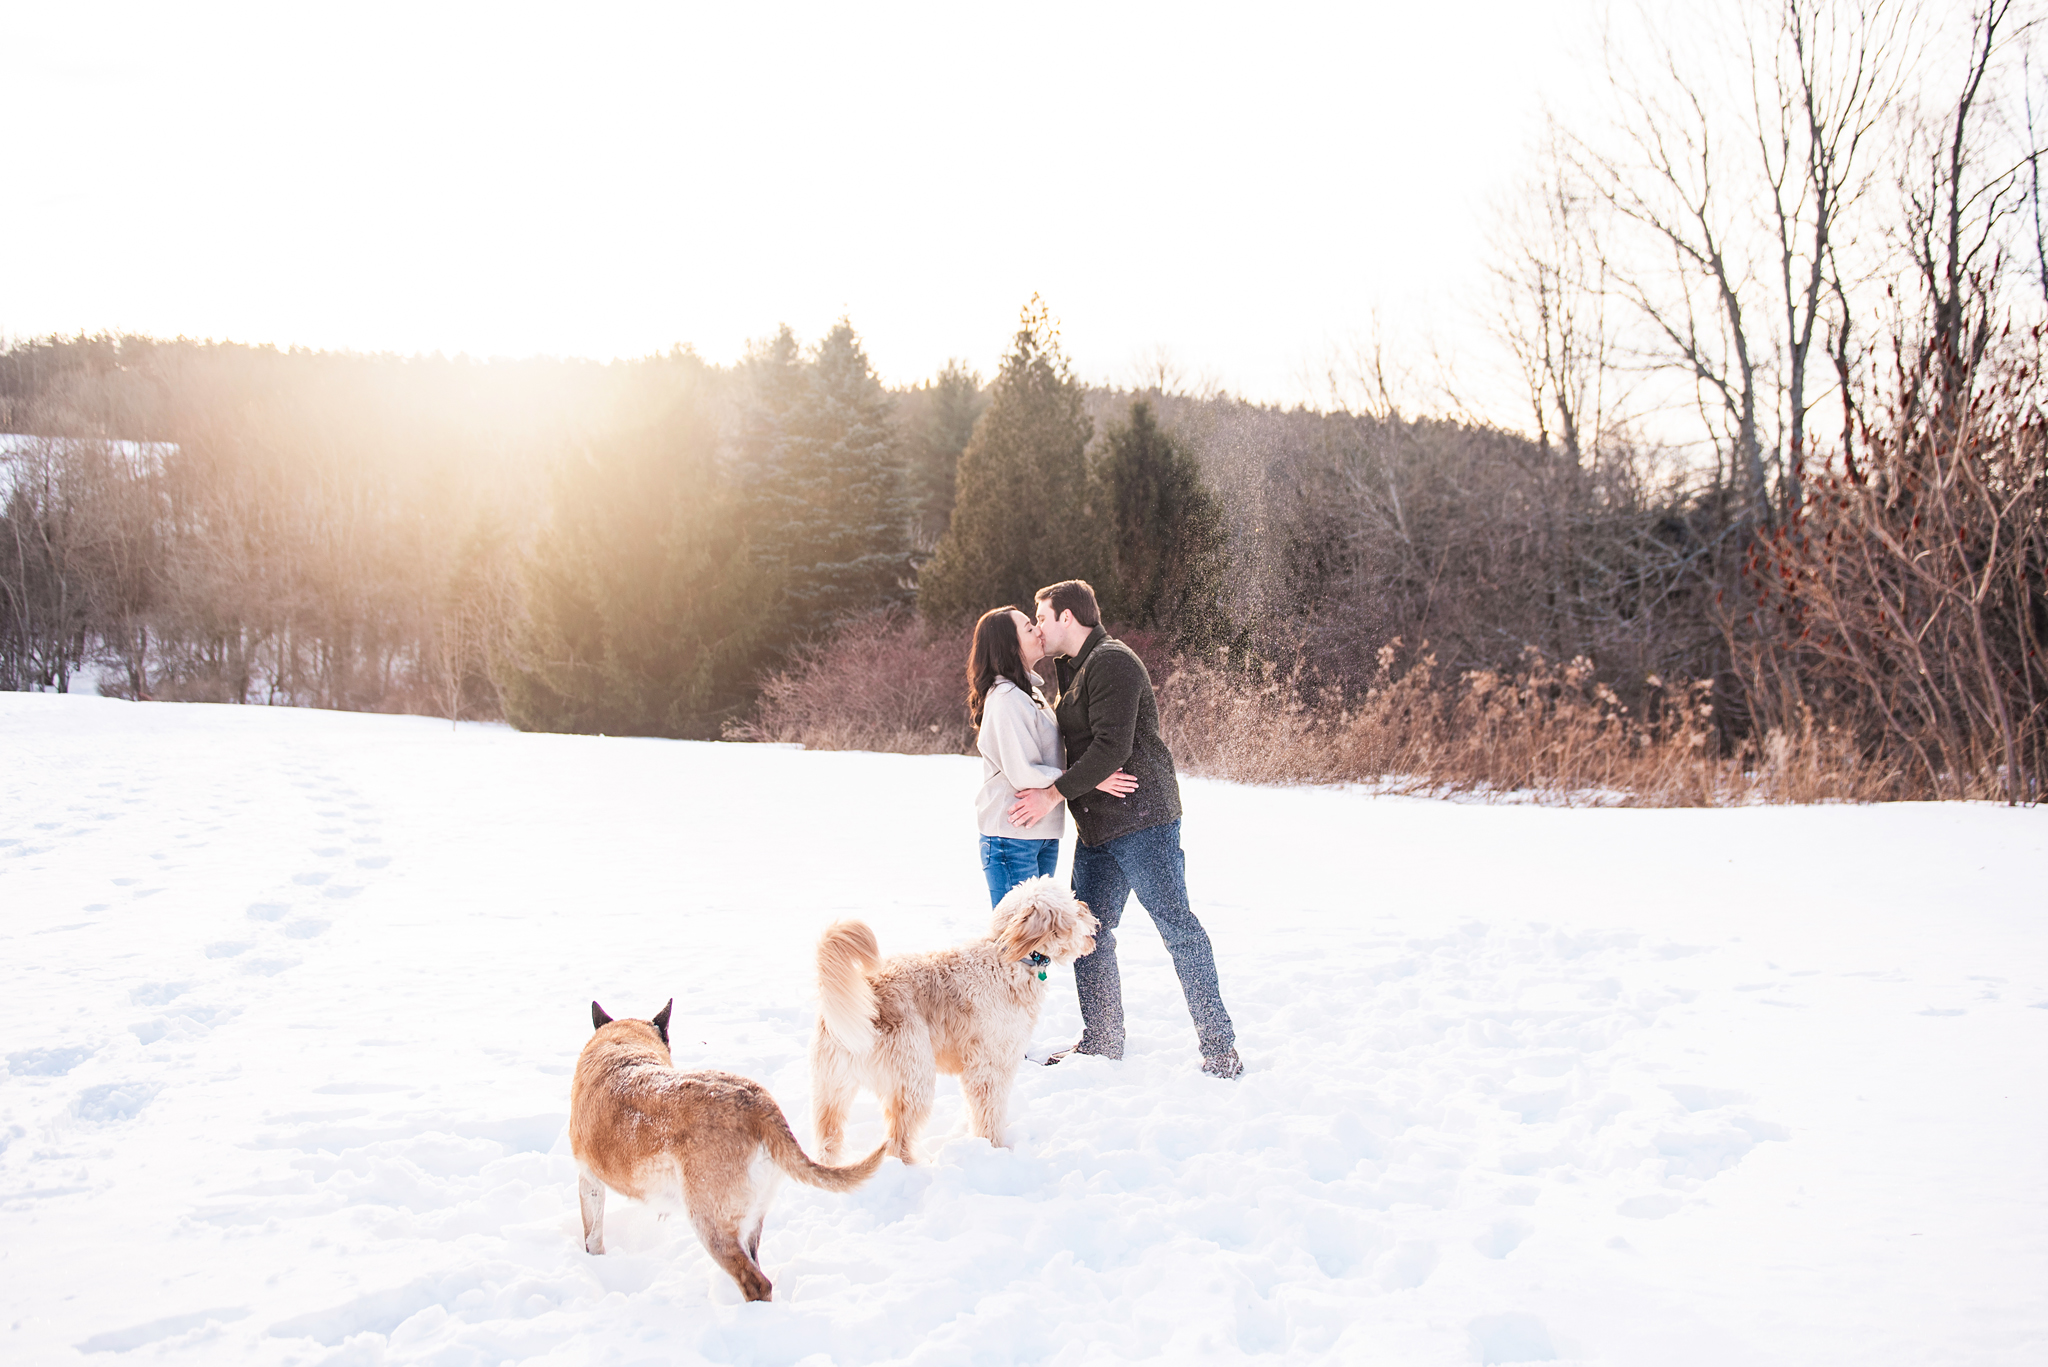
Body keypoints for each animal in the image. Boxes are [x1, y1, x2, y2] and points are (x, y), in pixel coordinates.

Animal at [569, 996, 880, 1303]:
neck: (623, 1045)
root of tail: (759, 1106)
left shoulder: (588, 1180)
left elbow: (592, 1234)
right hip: (750, 1217)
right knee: (755, 1263)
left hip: (709, 1221)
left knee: (756, 1282)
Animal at [815, 877, 1105, 1164]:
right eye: (1071, 905)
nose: (1088, 908)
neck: (1008, 958)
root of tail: (870, 994)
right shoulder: (989, 1066)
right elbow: (990, 1111)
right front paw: (993, 1148)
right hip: (914, 1079)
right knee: (897, 1141)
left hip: (832, 1091)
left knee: (828, 1139)